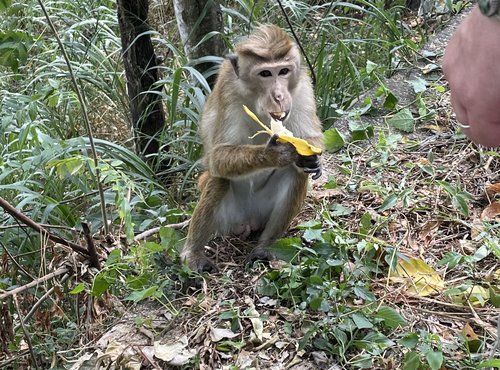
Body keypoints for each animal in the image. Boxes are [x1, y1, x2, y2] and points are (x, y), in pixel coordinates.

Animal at [181, 23, 324, 272]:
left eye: (283, 71)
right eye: (265, 73)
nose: (279, 96)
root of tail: (249, 221)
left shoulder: (303, 86)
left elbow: (311, 137)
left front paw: (309, 159)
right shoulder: (228, 89)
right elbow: (218, 156)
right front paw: (273, 154)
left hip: (263, 212)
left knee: (296, 174)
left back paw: (265, 248)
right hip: (229, 220)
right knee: (219, 180)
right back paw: (194, 254)